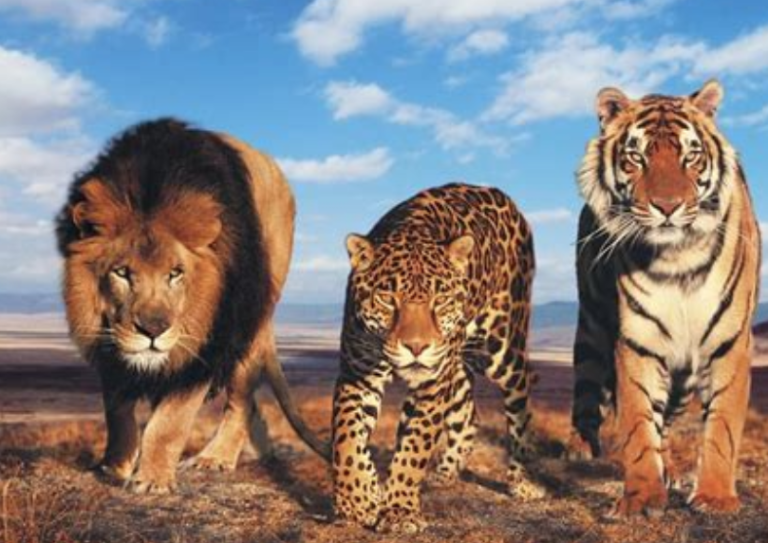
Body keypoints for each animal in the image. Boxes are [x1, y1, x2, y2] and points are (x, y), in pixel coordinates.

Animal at [332, 183, 539, 533]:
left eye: (440, 299)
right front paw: (357, 499)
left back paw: (522, 481)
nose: (417, 347)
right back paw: (444, 474)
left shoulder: (431, 384)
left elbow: (415, 446)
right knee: (468, 417)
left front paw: (399, 510)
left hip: (503, 346)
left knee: (520, 403)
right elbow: (346, 438)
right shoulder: (357, 374)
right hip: (457, 364)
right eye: (387, 298)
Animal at [571, 80, 761, 516]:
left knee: (668, 422)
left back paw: (671, 470)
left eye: (691, 156)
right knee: (587, 389)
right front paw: (641, 498)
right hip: (592, 327)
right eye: (635, 158)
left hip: (683, 378)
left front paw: (715, 496)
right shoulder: (637, 342)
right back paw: (578, 450)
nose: (668, 207)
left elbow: (722, 425)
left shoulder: (730, 342)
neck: (678, 258)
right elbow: (639, 426)